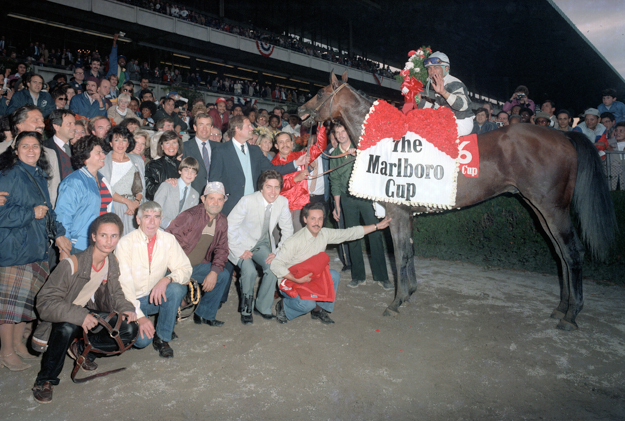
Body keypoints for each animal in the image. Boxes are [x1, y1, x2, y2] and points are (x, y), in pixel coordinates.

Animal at [300, 71, 616, 328]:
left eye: (320, 92)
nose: (300, 110)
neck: (392, 144)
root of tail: (564, 135)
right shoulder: (407, 214)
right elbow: (409, 253)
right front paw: (409, 294)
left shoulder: (397, 212)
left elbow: (400, 255)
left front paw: (396, 301)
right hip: (539, 210)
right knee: (560, 254)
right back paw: (561, 307)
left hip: (553, 208)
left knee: (573, 252)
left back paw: (571, 315)